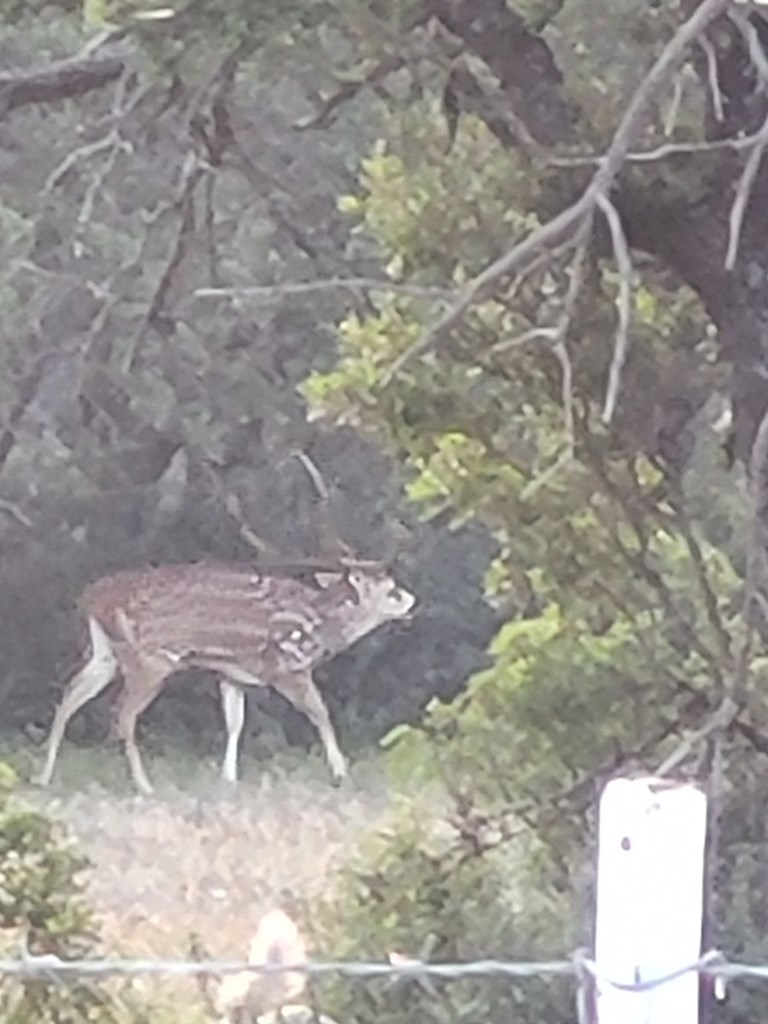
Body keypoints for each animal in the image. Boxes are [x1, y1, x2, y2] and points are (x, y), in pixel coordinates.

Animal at [31, 452, 415, 794]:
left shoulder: (231, 673)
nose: (412, 601)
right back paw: (144, 785)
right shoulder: (287, 666)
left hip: (104, 652)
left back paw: (43, 777)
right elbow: (320, 713)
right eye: (391, 590)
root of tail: (91, 599)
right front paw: (340, 772)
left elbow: (234, 722)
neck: (319, 625)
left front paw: (228, 778)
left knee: (69, 697)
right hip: (149, 660)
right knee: (122, 715)